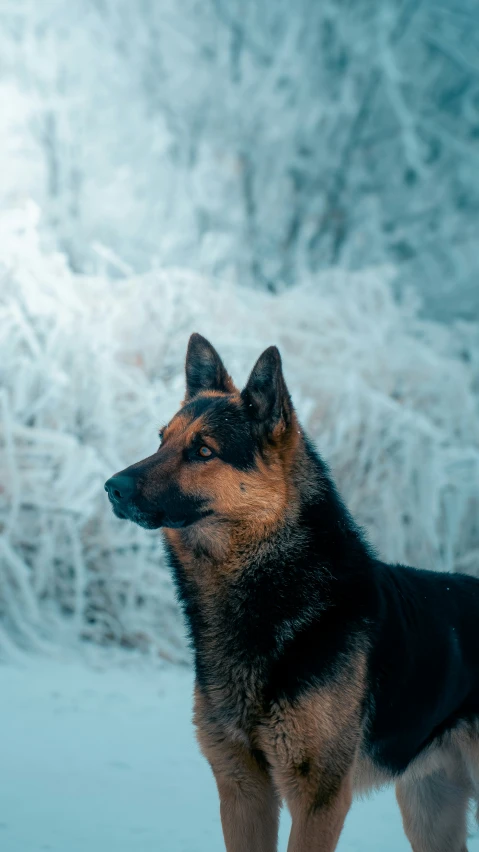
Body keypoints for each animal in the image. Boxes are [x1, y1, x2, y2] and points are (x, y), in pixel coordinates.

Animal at [105, 334, 479, 852]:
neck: (272, 590)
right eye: (162, 441)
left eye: (203, 451)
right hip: (430, 810)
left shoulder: (318, 796)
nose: (112, 487)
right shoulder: (242, 788)